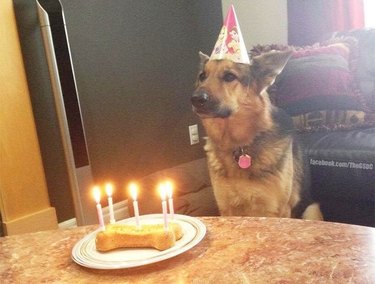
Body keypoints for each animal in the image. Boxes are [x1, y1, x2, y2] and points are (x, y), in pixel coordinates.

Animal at [192, 51, 324, 220]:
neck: (238, 146)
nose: (195, 99)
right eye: (202, 76)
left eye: (229, 76)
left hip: (311, 209)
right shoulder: (226, 209)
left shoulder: (276, 210)